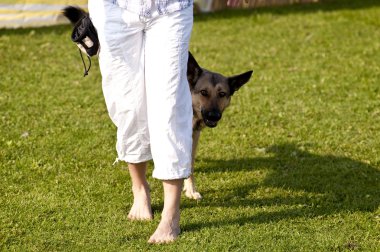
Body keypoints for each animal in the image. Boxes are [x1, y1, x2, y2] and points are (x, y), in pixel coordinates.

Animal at [184, 52, 252, 200]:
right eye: (204, 92)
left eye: (222, 94)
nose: (214, 116)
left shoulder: (193, 136)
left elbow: (189, 164)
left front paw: (190, 190)